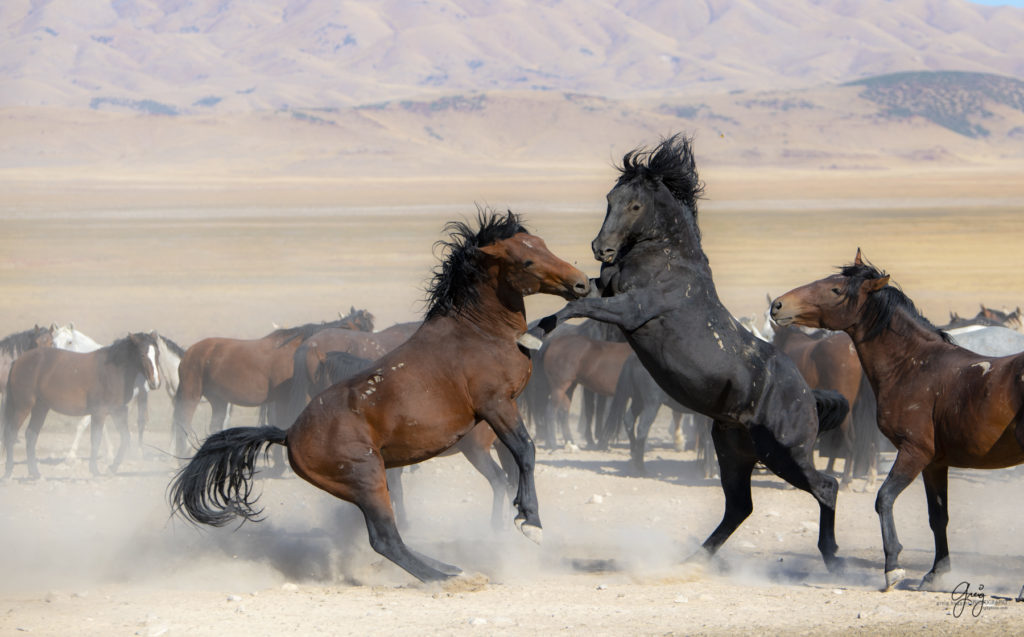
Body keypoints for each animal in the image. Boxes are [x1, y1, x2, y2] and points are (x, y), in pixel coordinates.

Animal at [2, 333, 159, 479]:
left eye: (157, 354)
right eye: (142, 354)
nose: (155, 383)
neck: (113, 370)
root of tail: (18, 361)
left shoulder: (118, 411)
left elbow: (125, 438)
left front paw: (111, 468)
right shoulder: (99, 413)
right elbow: (96, 439)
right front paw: (95, 471)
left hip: (40, 408)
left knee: (31, 435)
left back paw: (35, 473)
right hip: (23, 407)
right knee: (11, 434)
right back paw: (8, 473)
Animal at [169, 210, 593, 585]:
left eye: (543, 244)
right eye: (526, 258)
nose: (581, 284)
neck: (479, 332)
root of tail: (288, 434)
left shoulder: (504, 407)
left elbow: (515, 459)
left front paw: (520, 517)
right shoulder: (496, 404)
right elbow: (526, 451)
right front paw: (531, 522)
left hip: (375, 481)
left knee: (393, 536)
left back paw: (451, 568)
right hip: (367, 479)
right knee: (386, 539)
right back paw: (446, 578)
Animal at [536, 133, 847, 573]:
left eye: (635, 205)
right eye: (610, 197)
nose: (602, 248)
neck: (667, 260)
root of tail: (807, 395)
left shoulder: (631, 310)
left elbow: (578, 306)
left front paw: (531, 334)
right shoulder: (610, 292)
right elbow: (578, 295)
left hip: (784, 451)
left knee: (825, 487)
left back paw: (839, 558)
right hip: (735, 450)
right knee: (740, 507)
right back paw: (692, 560)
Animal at [774, 249, 1024, 593]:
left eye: (836, 290)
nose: (778, 305)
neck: (913, 365)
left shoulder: (913, 452)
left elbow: (884, 499)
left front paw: (893, 568)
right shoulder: (935, 463)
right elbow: (938, 517)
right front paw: (935, 573)